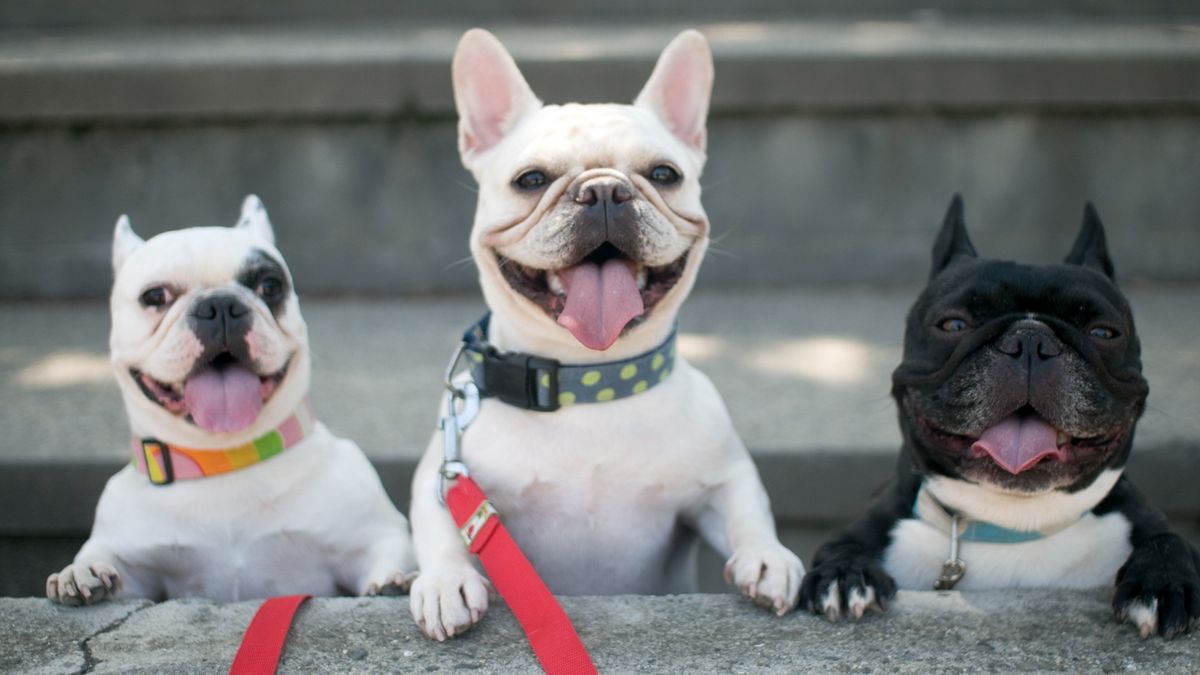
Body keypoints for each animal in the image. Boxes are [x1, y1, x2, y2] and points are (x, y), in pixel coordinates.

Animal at [46, 196, 415, 600]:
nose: (220, 305)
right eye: (154, 296)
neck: (225, 458)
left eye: (270, 285)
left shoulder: (371, 534)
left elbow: (389, 551)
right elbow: (103, 556)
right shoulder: (132, 558)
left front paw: (396, 579)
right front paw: (82, 572)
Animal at [796, 196, 1200, 638]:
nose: (1030, 340)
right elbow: (841, 545)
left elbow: (1169, 540)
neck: (1013, 525)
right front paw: (846, 574)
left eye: (1104, 333)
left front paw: (1160, 581)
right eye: (953, 324)